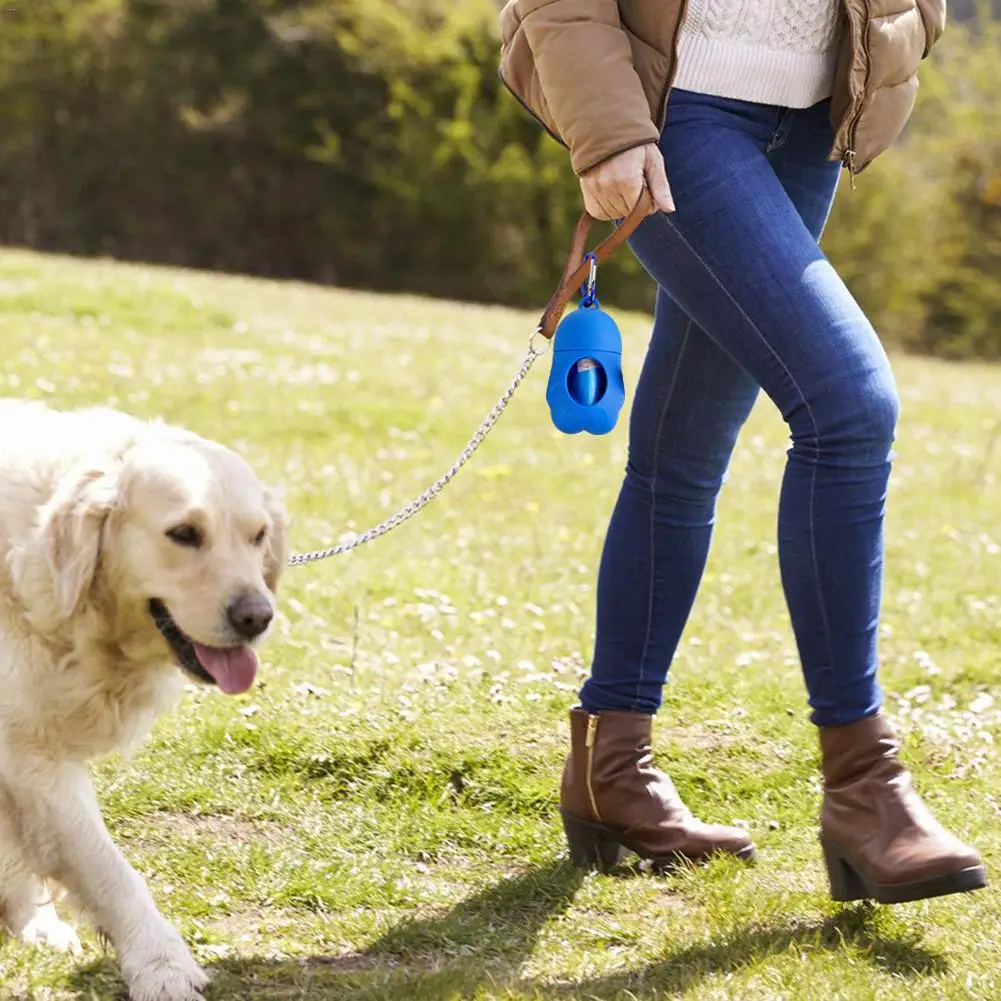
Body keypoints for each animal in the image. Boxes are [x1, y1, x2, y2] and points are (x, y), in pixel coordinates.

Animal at [0, 398, 290, 1001]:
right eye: (184, 533)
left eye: (258, 535)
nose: (258, 618)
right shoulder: (32, 756)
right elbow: (109, 869)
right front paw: (161, 965)